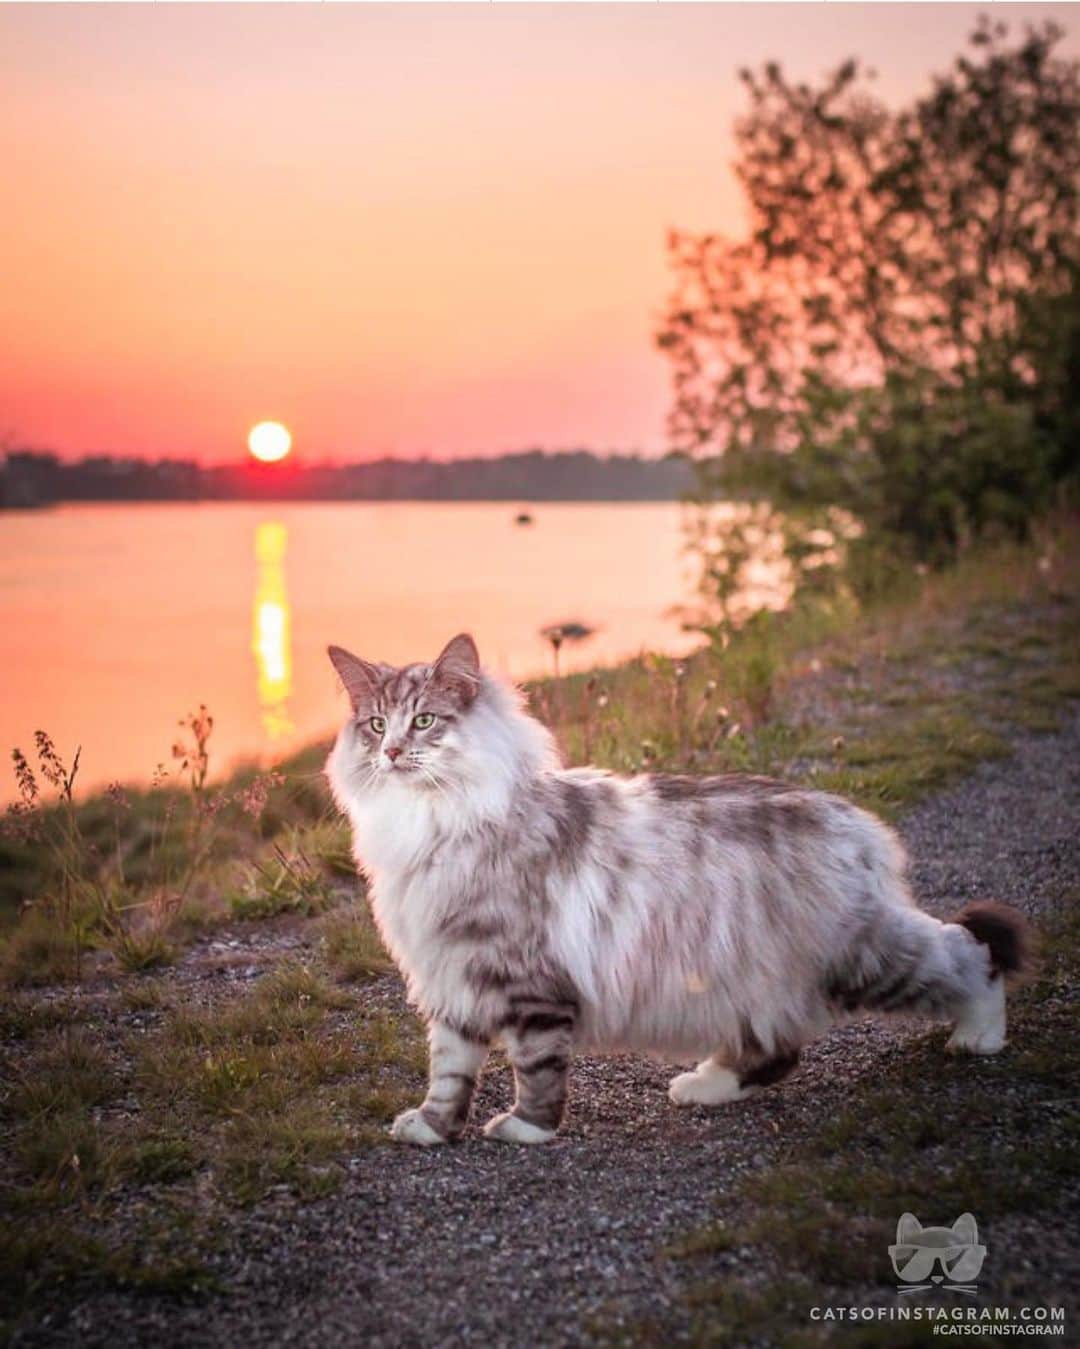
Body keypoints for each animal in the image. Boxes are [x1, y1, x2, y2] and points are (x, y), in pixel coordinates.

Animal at [324, 636, 1030, 1143]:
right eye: (376, 724)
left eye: (424, 721)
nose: (391, 752)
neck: (434, 824)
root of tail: (854, 821)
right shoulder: (452, 975)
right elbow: (448, 1071)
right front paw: (431, 1129)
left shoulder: (525, 979)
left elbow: (535, 1065)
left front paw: (527, 1129)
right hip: (755, 973)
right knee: (777, 1049)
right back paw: (705, 1084)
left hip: (859, 955)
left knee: (967, 953)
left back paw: (980, 1035)